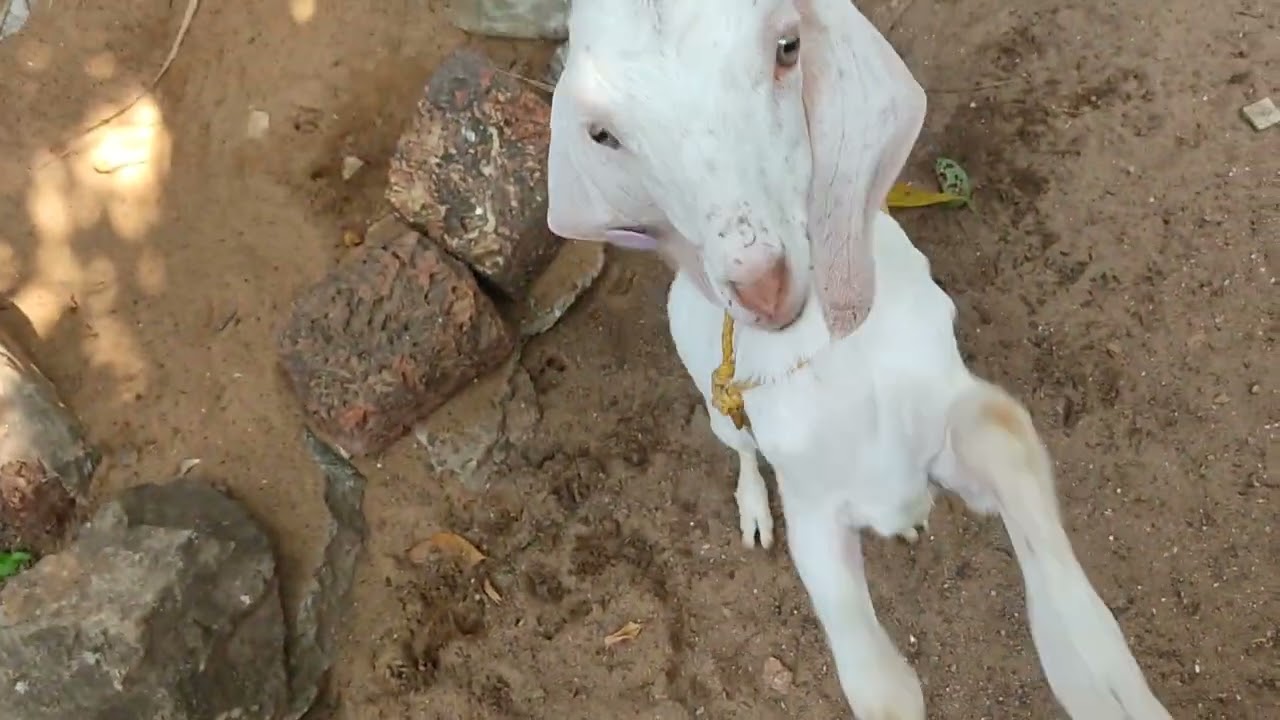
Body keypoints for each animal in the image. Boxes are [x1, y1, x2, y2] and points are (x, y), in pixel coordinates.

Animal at [545, 1, 1174, 718]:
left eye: (788, 47)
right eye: (601, 133)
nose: (760, 286)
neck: (830, 355)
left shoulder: (942, 417)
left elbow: (1002, 435)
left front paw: (1105, 678)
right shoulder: (813, 508)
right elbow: (878, 685)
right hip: (718, 407)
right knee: (740, 450)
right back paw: (753, 510)